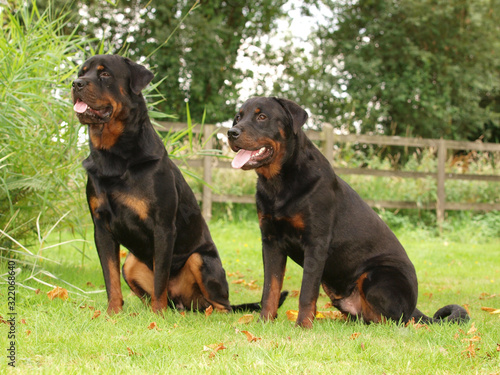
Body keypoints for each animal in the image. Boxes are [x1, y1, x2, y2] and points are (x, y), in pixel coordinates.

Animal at [71, 55, 286, 314]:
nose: (76, 84)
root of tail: (185, 303)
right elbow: (110, 278)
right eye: (82, 72)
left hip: (200, 260)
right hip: (131, 263)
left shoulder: (163, 226)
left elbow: (160, 279)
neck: (113, 156)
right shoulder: (101, 227)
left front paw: (158, 315)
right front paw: (113, 312)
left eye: (105, 74)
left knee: (221, 305)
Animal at [227, 97, 468, 328]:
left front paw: (302, 326)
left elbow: (306, 292)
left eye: (262, 117)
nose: (231, 132)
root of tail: (414, 308)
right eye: (238, 117)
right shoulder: (271, 241)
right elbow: (270, 289)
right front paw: (264, 322)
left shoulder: (316, 242)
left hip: (377, 276)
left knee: (395, 320)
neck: (278, 185)